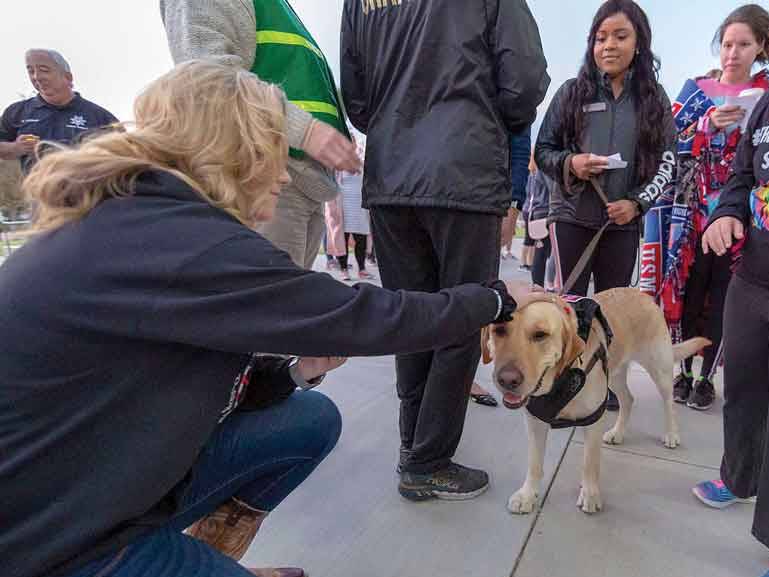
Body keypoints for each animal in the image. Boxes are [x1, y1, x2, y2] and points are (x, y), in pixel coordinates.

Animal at [484, 288, 712, 512]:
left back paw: (671, 434)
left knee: (668, 404)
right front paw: (527, 495)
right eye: (500, 330)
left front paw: (590, 494)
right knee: (628, 399)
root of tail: (643, 294)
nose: (507, 380)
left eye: (540, 335)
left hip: (660, 369)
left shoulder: (593, 420)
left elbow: (590, 462)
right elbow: (534, 463)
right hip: (614, 374)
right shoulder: (535, 422)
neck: (562, 376)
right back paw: (617, 432)